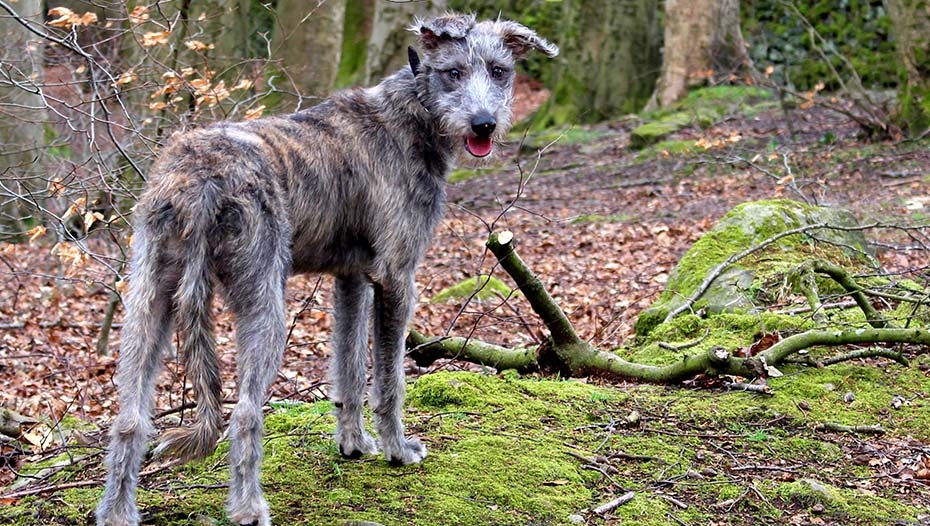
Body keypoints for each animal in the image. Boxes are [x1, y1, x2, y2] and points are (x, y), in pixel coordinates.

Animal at [97, 12, 556, 526]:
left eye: (499, 71)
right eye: (453, 72)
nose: (484, 124)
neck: (413, 112)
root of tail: (203, 177)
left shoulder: (352, 278)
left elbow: (349, 368)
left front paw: (353, 444)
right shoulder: (397, 276)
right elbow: (390, 379)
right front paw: (397, 449)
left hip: (148, 299)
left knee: (129, 417)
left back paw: (117, 511)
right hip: (266, 309)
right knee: (245, 413)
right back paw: (249, 507)